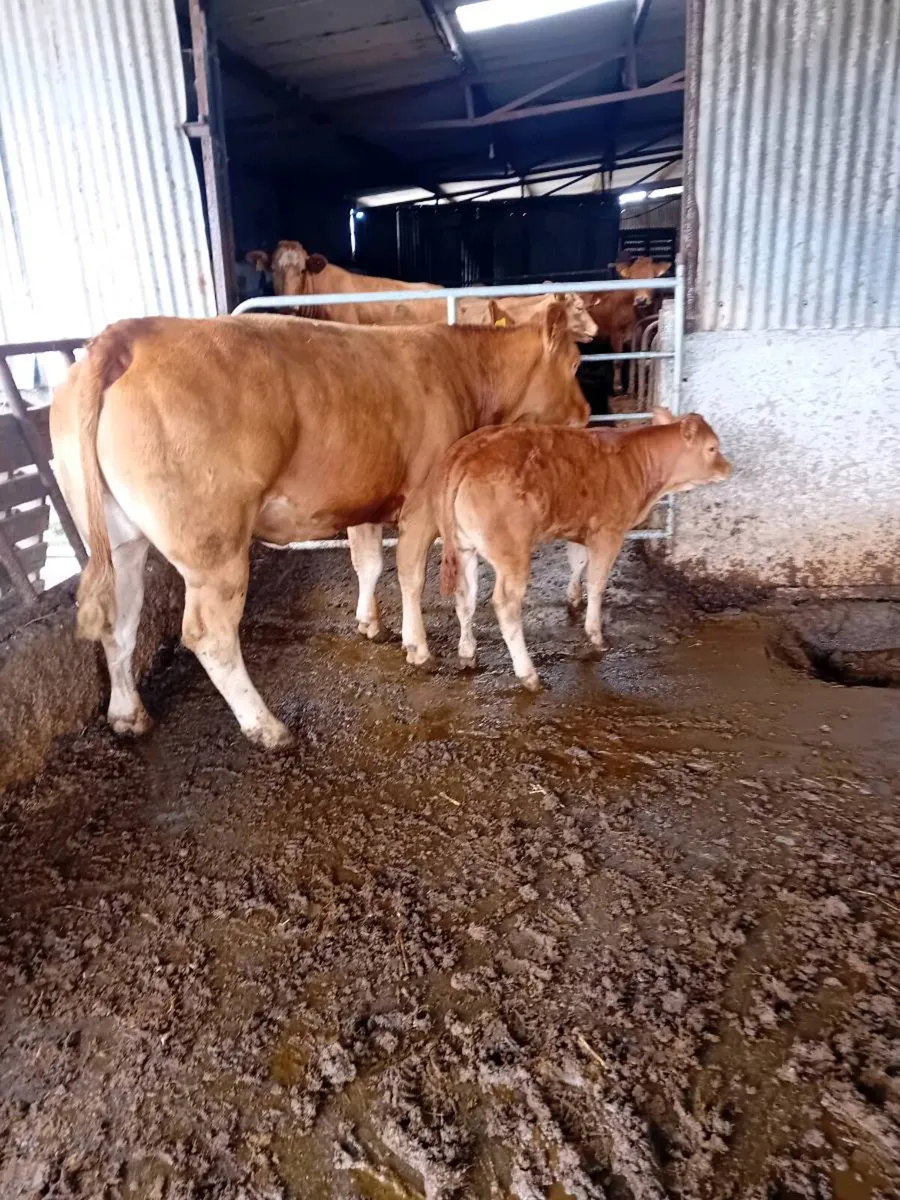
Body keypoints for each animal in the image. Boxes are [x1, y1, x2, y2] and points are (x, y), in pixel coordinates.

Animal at [50, 308, 589, 747]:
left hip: (121, 542)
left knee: (119, 622)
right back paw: (266, 728)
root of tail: (127, 333)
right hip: (214, 546)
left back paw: (128, 715)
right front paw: (416, 646)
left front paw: (369, 623)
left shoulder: (364, 500)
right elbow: (409, 574)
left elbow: (368, 564)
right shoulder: (420, 501)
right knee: (210, 634)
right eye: (576, 363)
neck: (460, 372)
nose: (586, 415)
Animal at [436, 407, 731, 691]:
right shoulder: (609, 533)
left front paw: (573, 598)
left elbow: (577, 563)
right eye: (712, 448)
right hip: (512, 554)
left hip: (464, 548)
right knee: (506, 605)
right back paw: (528, 675)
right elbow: (597, 583)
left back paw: (467, 654)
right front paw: (595, 634)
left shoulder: (580, 529)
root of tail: (467, 451)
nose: (729, 468)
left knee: (465, 597)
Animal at [585, 256, 671, 394]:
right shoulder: (616, 334)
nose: (641, 300)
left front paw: (634, 387)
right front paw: (618, 387)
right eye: (632, 279)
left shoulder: (639, 336)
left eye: (652, 278)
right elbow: (618, 360)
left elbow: (634, 360)